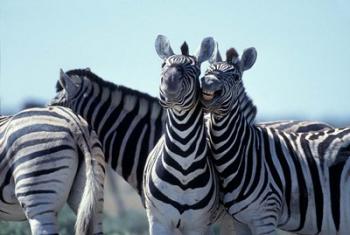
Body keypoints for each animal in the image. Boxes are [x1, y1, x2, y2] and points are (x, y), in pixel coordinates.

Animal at [200, 46, 350, 235]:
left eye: (236, 77)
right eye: (207, 71)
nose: (208, 82)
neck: (244, 152)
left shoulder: (264, 217)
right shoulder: (239, 221)